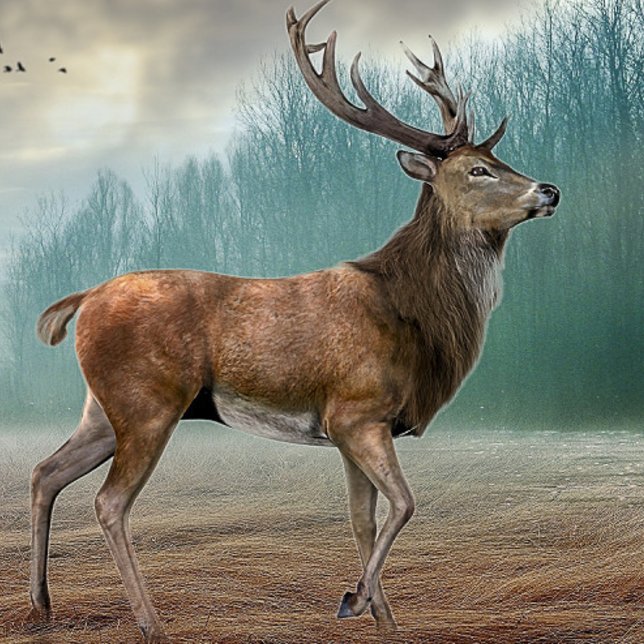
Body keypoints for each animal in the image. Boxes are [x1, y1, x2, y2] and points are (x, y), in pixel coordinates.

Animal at [28, 0, 560, 641]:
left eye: (498, 159)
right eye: (479, 169)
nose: (550, 190)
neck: (413, 315)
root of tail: (83, 299)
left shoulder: (352, 428)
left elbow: (363, 518)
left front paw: (381, 615)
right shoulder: (357, 411)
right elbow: (405, 504)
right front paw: (354, 600)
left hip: (103, 409)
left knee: (45, 472)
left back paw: (42, 606)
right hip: (146, 401)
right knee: (108, 502)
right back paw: (151, 623)